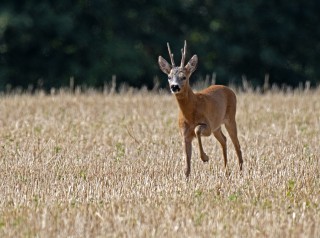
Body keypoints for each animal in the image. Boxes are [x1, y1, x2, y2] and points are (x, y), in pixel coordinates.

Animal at [158, 41, 242, 178]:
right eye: (169, 77)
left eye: (184, 77)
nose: (174, 87)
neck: (190, 114)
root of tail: (228, 89)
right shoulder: (184, 134)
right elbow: (187, 164)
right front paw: (186, 178)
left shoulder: (207, 125)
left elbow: (197, 130)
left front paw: (205, 158)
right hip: (217, 126)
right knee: (224, 140)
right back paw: (226, 171)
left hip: (230, 118)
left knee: (236, 144)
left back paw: (240, 171)